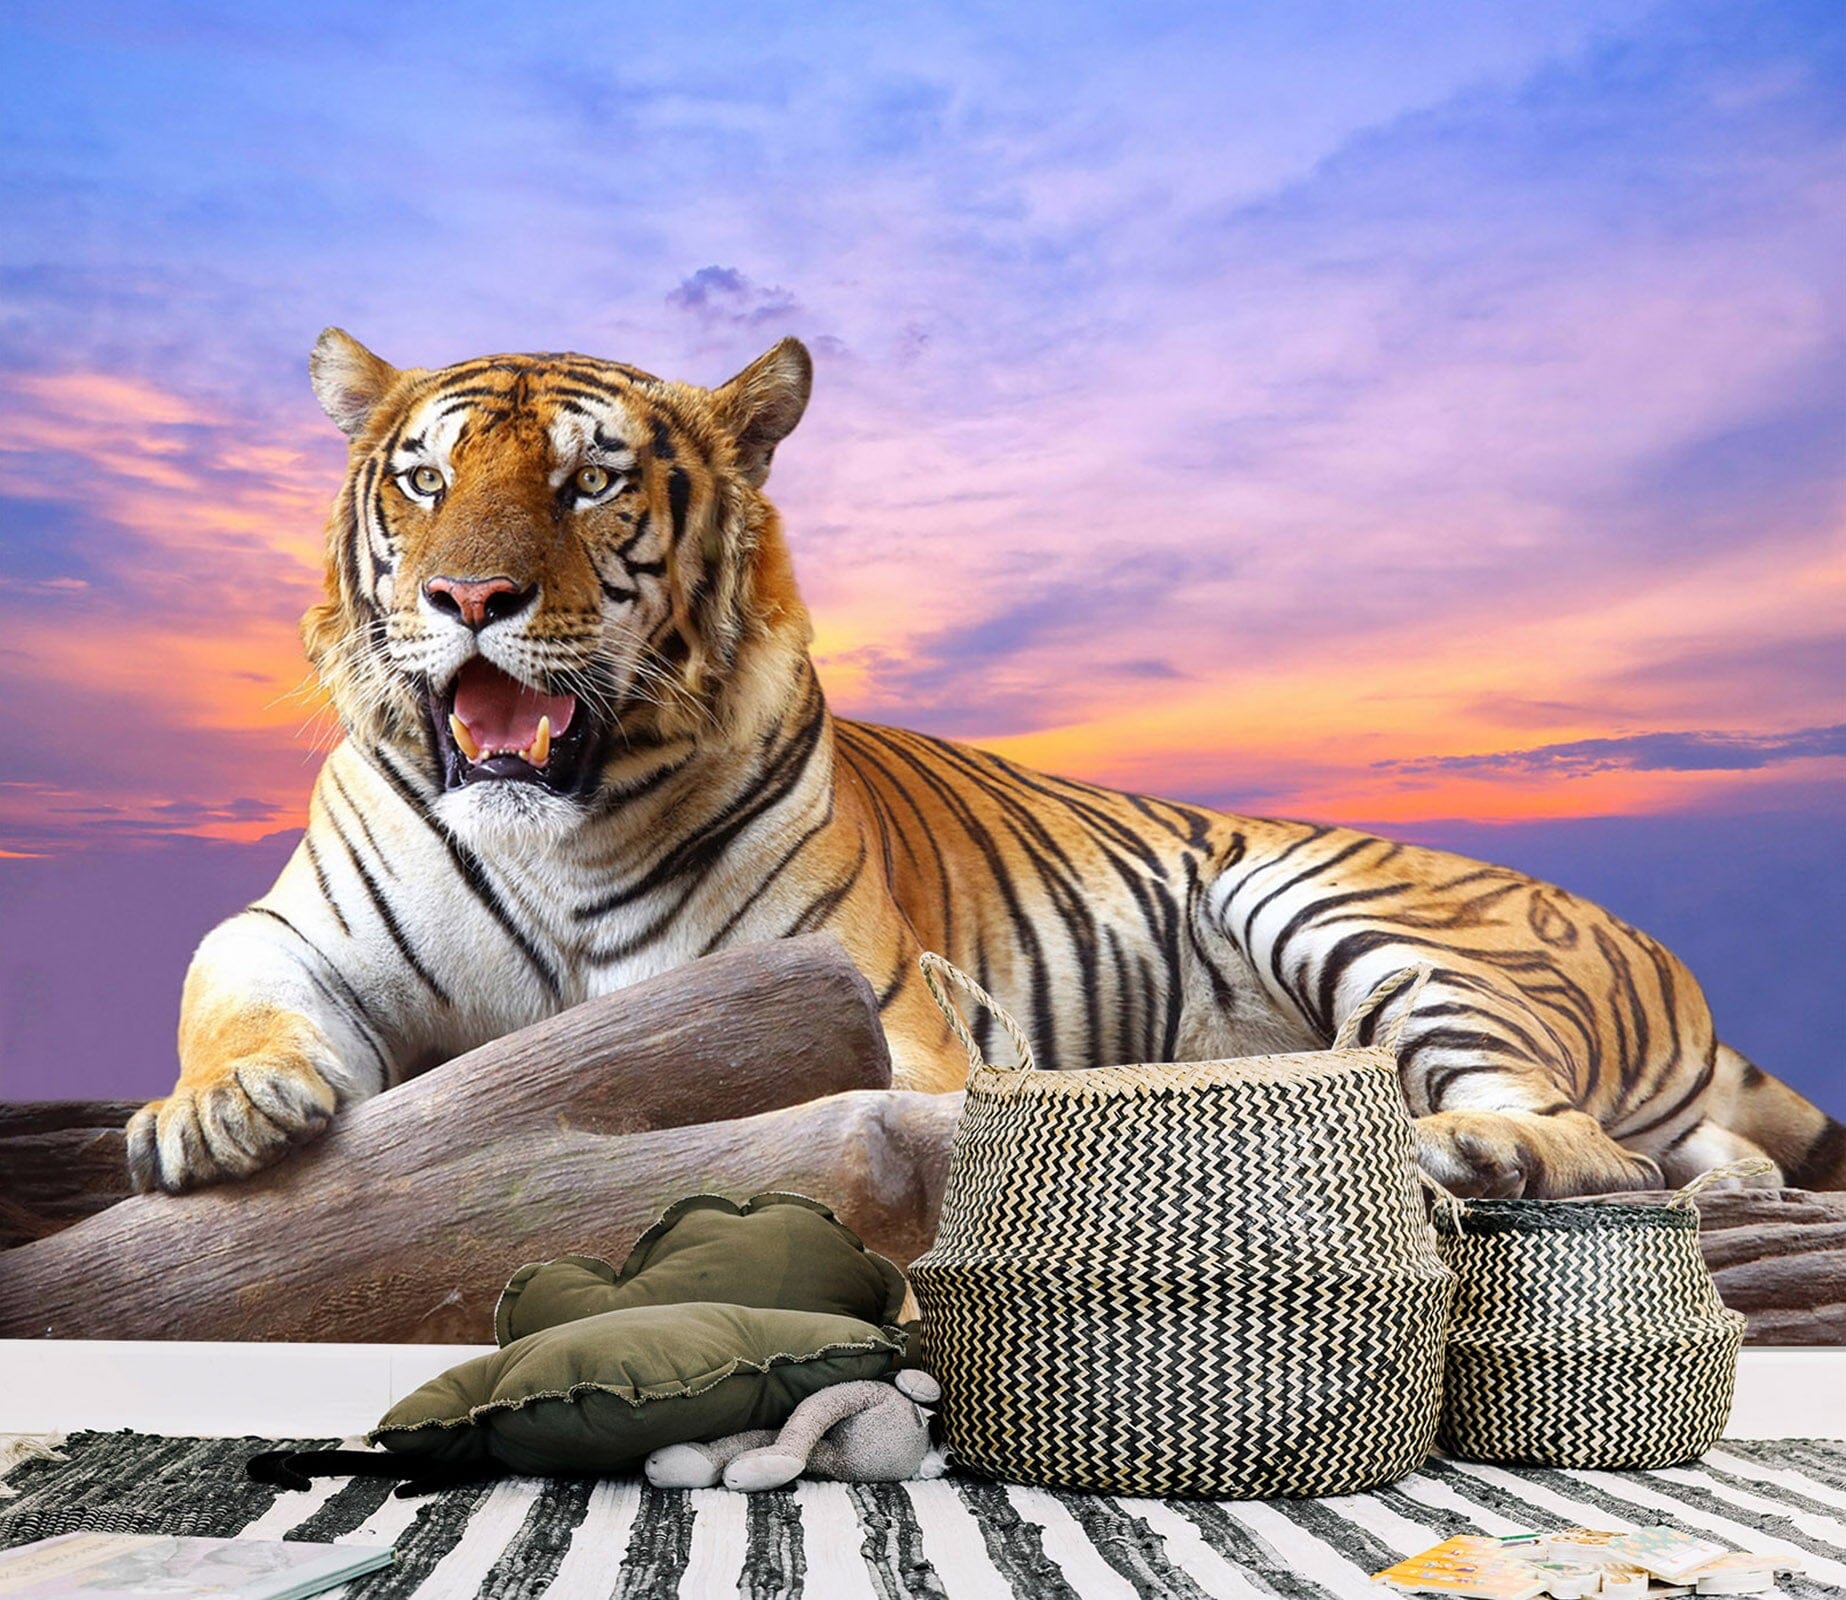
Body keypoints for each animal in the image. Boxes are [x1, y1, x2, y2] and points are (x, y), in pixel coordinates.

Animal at [126, 329, 1846, 1202]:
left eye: (589, 481)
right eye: (422, 482)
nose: (465, 599)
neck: (548, 826)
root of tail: (1654, 947)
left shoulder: (856, 1009)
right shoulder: (295, 927)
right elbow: (232, 992)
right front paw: (218, 1115)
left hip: (1350, 908)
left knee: (1562, 1124)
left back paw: (1474, 1153)